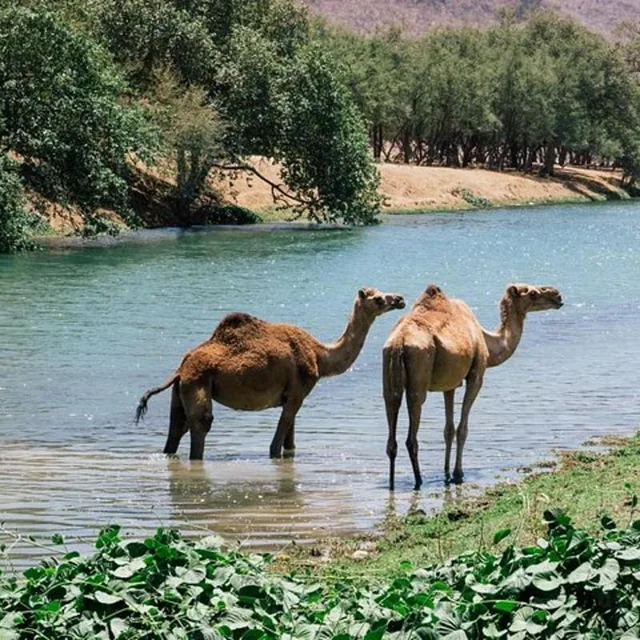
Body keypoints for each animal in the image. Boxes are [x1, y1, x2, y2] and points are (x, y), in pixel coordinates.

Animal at [136, 287, 405, 460]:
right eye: (378, 298)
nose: (400, 299)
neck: (320, 355)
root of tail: (180, 368)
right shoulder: (297, 393)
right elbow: (276, 446)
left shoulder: (291, 396)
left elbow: (290, 443)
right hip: (197, 382)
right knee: (201, 423)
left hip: (180, 390)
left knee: (175, 430)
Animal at [383, 283, 563, 491]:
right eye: (532, 293)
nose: (558, 296)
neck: (486, 340)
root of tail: (399, 342)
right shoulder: (476, 375)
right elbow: (462, 429)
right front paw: (457, 474)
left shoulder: (450, 383)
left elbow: (448, 429)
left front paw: (446, 472)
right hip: (419, 374)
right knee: (412, 433)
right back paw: (418, 480)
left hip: (388, 373)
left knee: (391, 422)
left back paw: (392, 484)